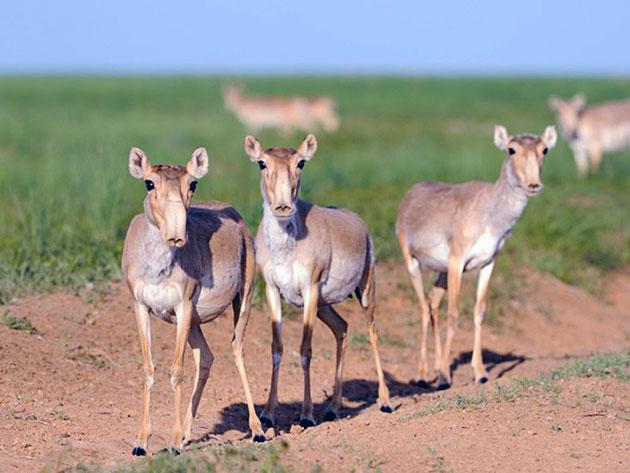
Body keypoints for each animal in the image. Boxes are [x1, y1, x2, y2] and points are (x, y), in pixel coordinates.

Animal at [122, 147, 266, 454]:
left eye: (193, 184)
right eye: (149, 183)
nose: (177, 234)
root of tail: (235, 215)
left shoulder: (184, 306)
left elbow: (177, 370)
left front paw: (174, 442)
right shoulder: (142, 308)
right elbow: (148, 369)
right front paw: (141, 442)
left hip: (243, 300)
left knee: (237, 350)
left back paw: (258, 430)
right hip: (194, 323)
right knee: (207, 357)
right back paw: (189, 432)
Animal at [246, 134, 390, 428]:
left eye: (300, 162)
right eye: (261, 163)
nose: (283, 206)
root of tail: (359, 222)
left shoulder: (309, 290)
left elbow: (305, 350)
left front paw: (307, 415)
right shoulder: (273, 290)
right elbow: (277, 348)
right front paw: (268, 414)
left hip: (365, 291)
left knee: (372, 331)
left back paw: (385, 401)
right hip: (325, 306)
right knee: (342, 328)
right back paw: (333, 408)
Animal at [398, 123, 560, 390]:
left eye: (544, 149)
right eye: (511, 149)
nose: (534, 185)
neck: (490, 213)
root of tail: (410, 195)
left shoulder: (488, 263)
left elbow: (479, 312)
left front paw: (480, 373)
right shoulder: (457, 262)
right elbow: (454, 314)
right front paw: (445, 377)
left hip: (441, 272)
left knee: (433, 302)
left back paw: (435, 367)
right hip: (412, 262)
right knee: (423, 306)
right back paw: (423, 375)